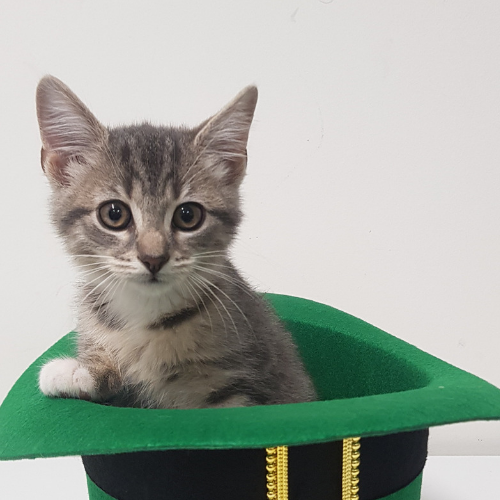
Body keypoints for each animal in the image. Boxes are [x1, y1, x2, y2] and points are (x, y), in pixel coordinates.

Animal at [37, 76, 316, 409]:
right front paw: (83, 370)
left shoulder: (247, 380)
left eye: (188, 215)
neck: (146, 316)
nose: (153, 258)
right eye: (114, 214)